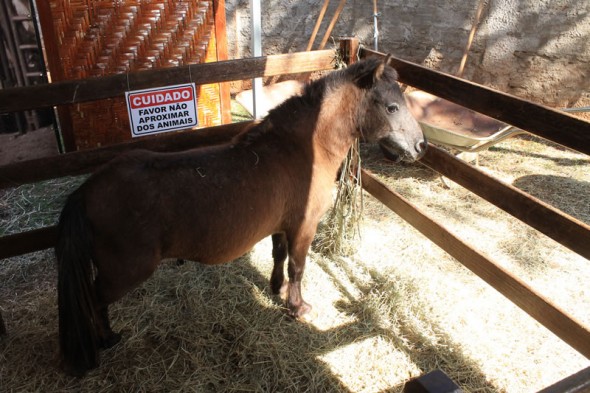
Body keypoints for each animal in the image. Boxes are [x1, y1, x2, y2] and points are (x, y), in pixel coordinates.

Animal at [55, 57, 428, 374]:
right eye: (392, 107)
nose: (421, 146)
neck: (302, 148)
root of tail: (88, 189)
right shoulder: (304, 227)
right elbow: (297, 266)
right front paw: (298, 307)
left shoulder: (282, 226)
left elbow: (279, 257)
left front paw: (276, 289)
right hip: (125, 271)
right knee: (94, 301)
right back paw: (106, 339)